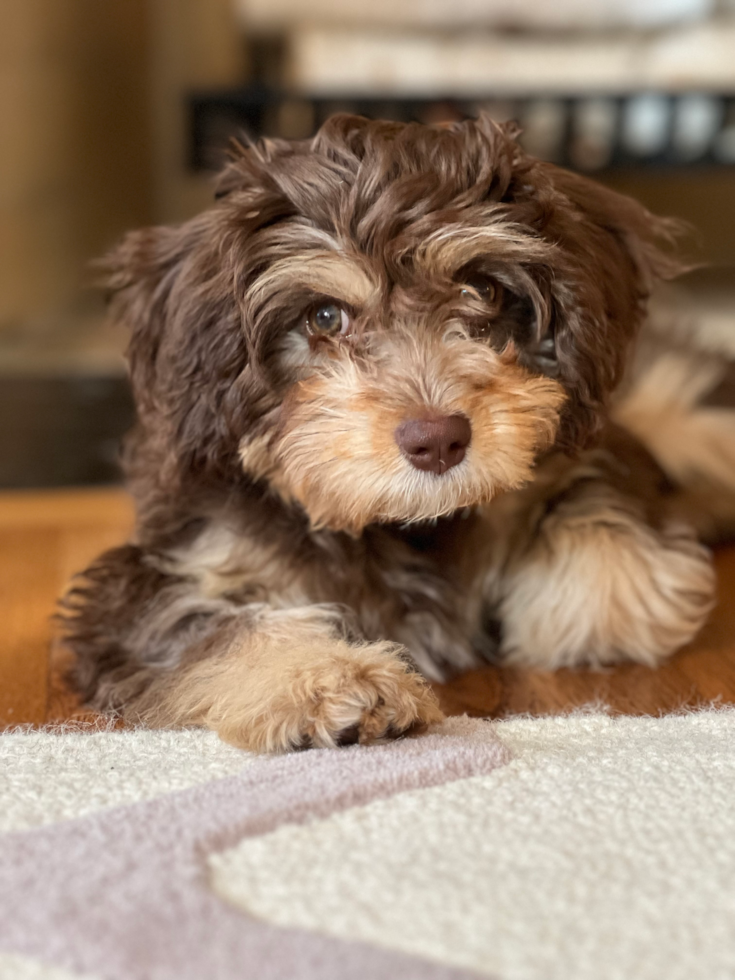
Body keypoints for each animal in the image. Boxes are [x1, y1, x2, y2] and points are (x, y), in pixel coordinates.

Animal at [61, 115, 732, 756]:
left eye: (483, 290)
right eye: (324, 316)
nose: (438, 440)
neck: (406, 523)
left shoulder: (591, 455)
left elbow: (604, 562)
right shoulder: (167, 570)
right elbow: (223, 628)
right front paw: (331, 680)